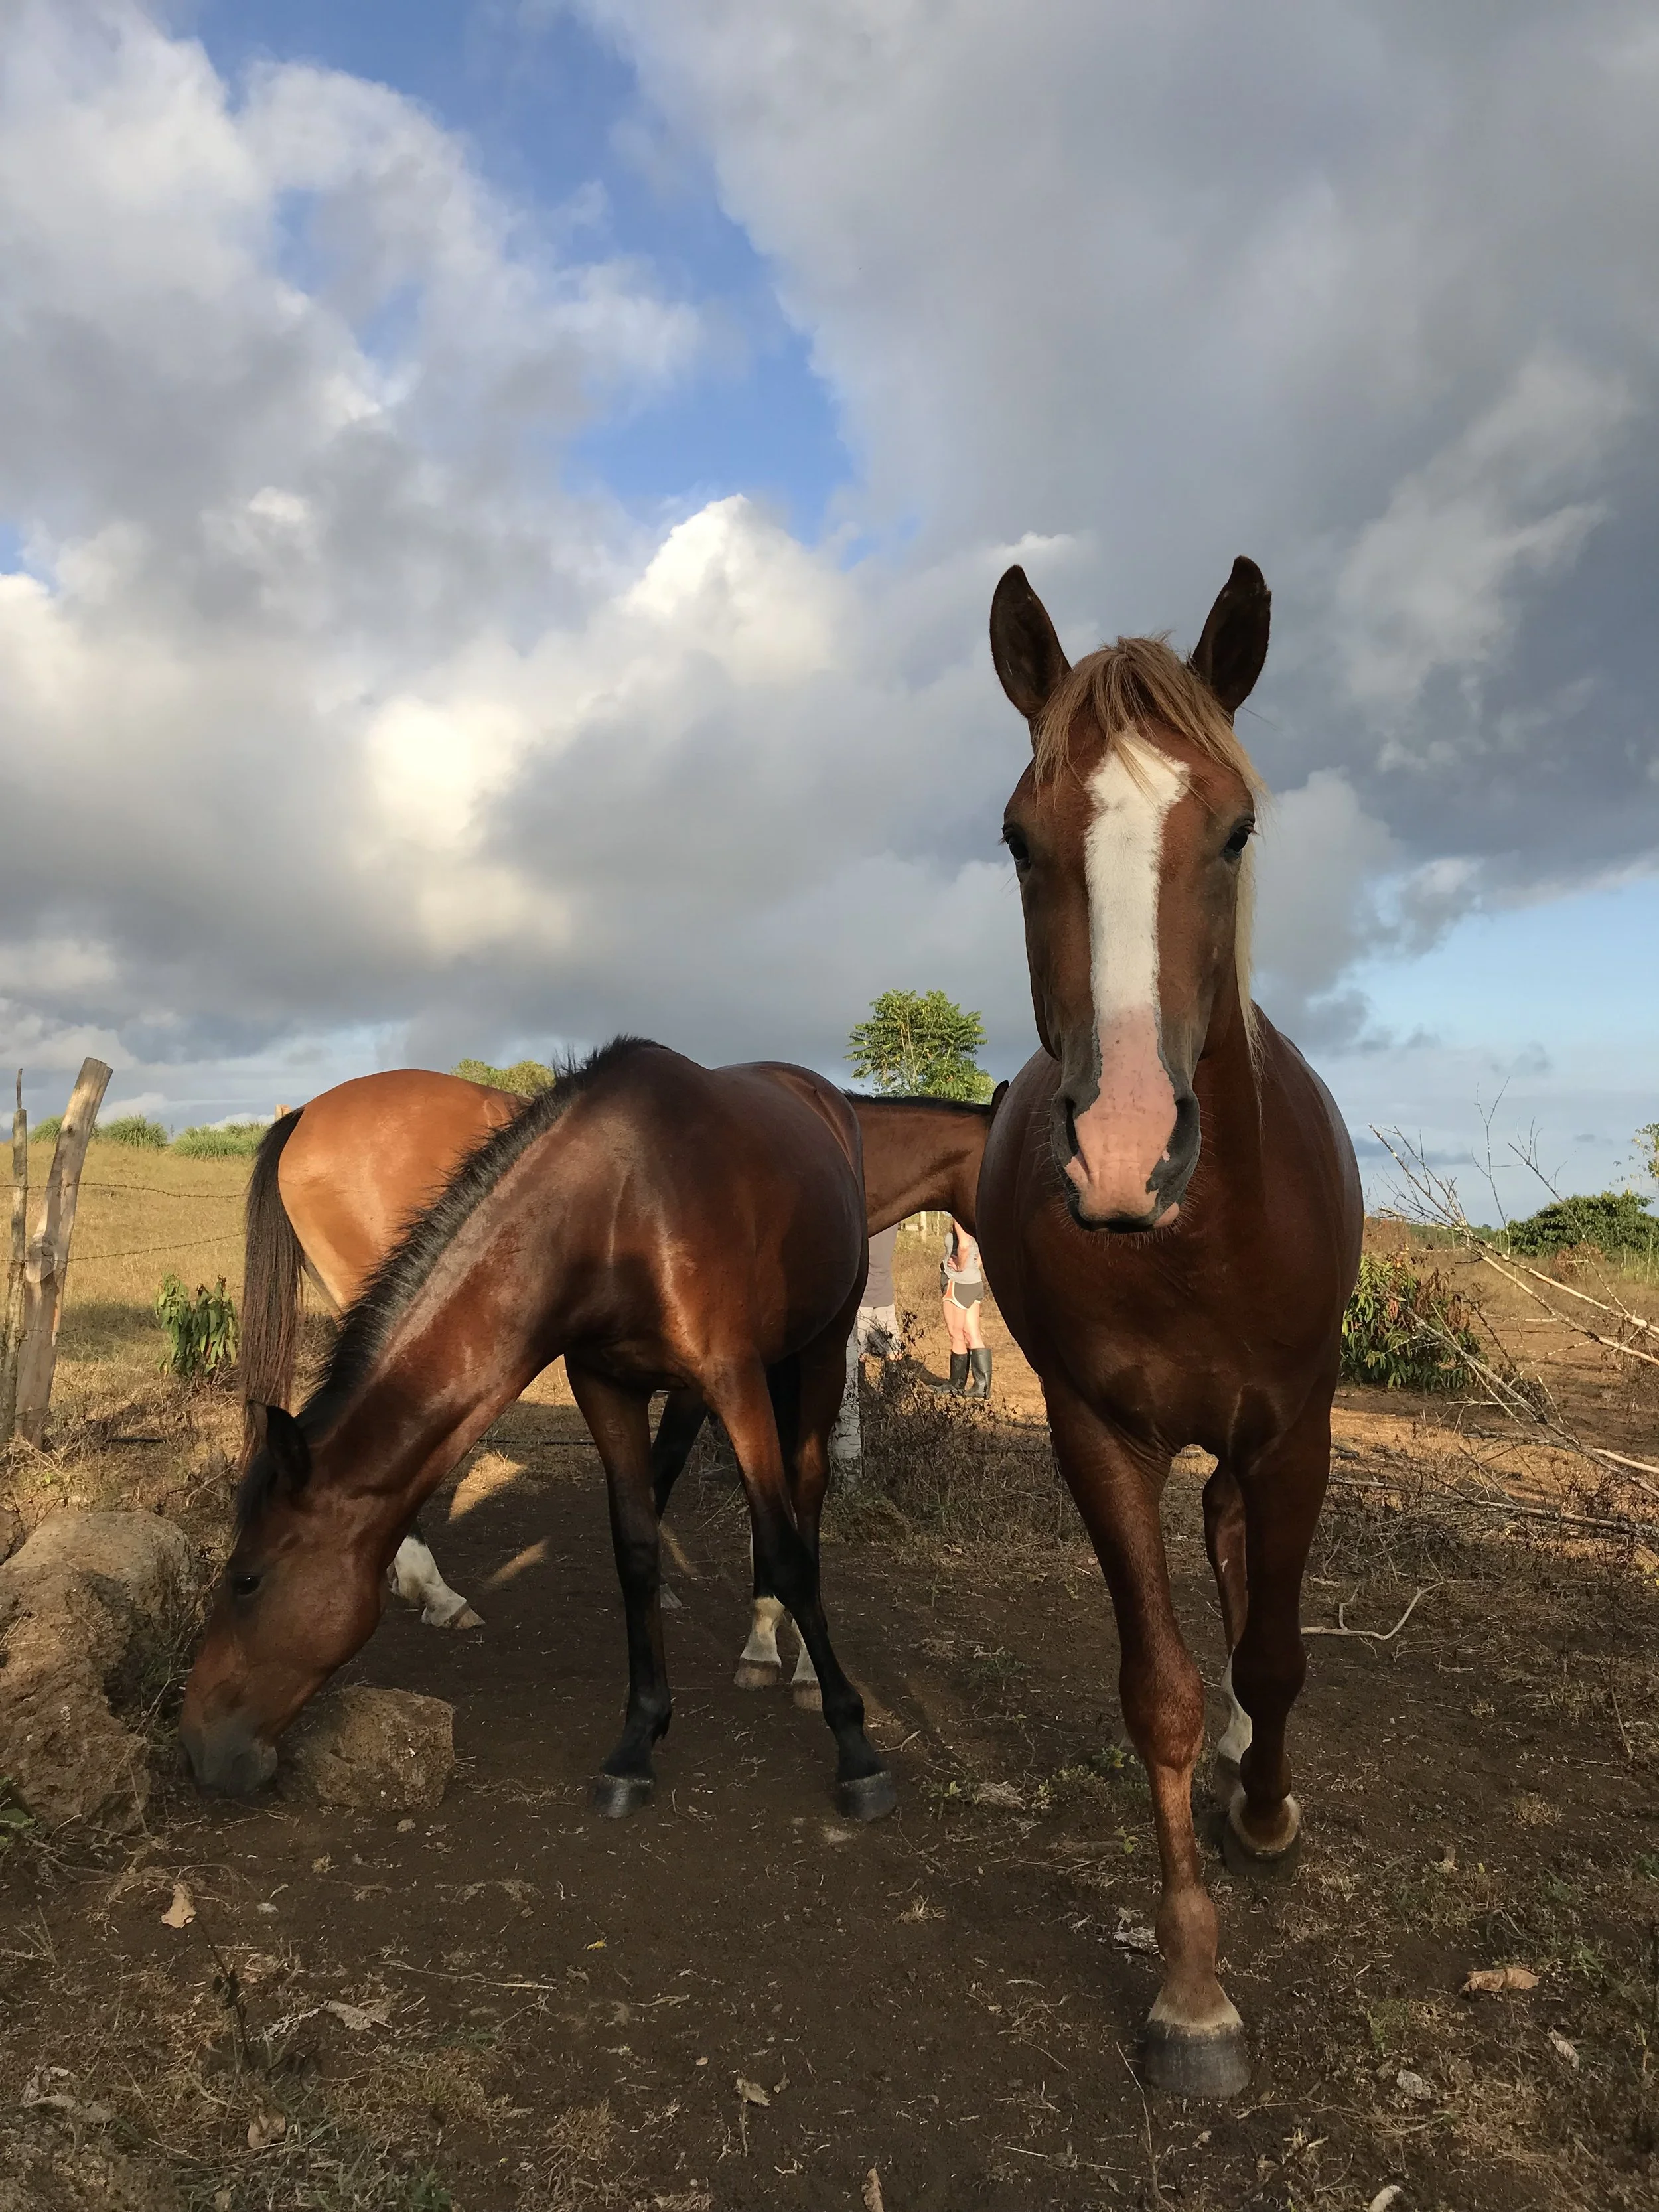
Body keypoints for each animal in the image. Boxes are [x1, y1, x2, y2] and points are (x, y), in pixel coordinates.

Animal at [182, 1040, 899, 1823]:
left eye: (246, 1582)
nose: (199, 1746)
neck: (618, 1206)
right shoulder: (605, 1384)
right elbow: (636, 1552)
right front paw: (637, 1742)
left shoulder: (730, 1380)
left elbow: (785, 1547)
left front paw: (856, 1750)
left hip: (825, 1341)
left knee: (807, 1489)